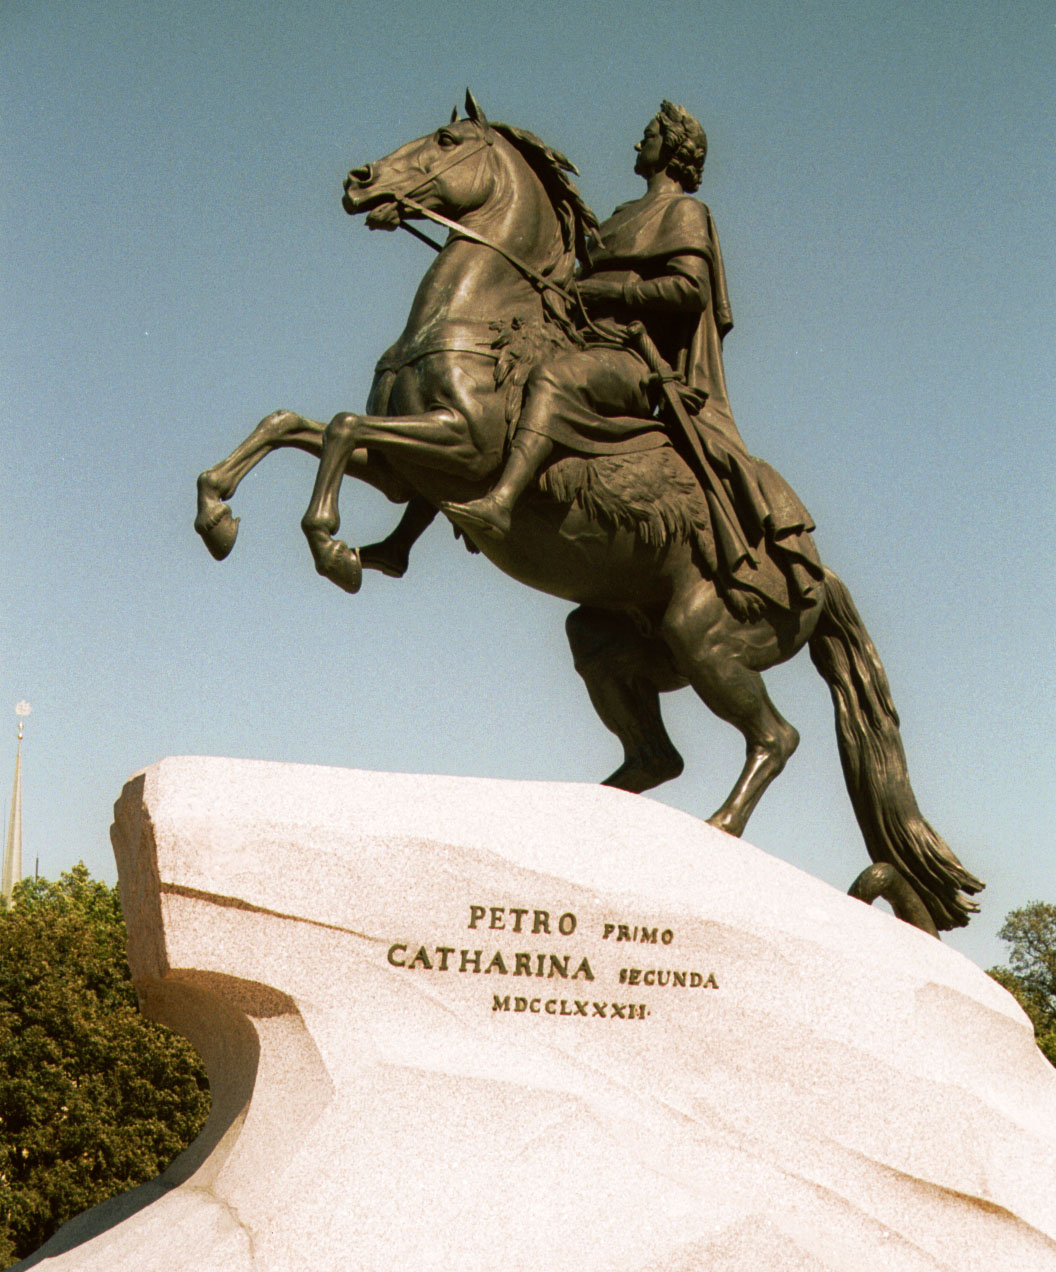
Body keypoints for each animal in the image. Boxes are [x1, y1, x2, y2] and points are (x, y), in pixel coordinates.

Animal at [195, 92, 982, 936]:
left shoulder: (461, 447)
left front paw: (333, 547)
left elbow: (341, 427)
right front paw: (219, 516)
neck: (482, 319)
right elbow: (292, 423)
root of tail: (814, 571)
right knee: (658, 757)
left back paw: (715, 828)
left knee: (776, 737)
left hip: (707, 638)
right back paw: (579, 815)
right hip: (613, 640)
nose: (359, 180)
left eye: (446, 139)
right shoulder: (406, 469)